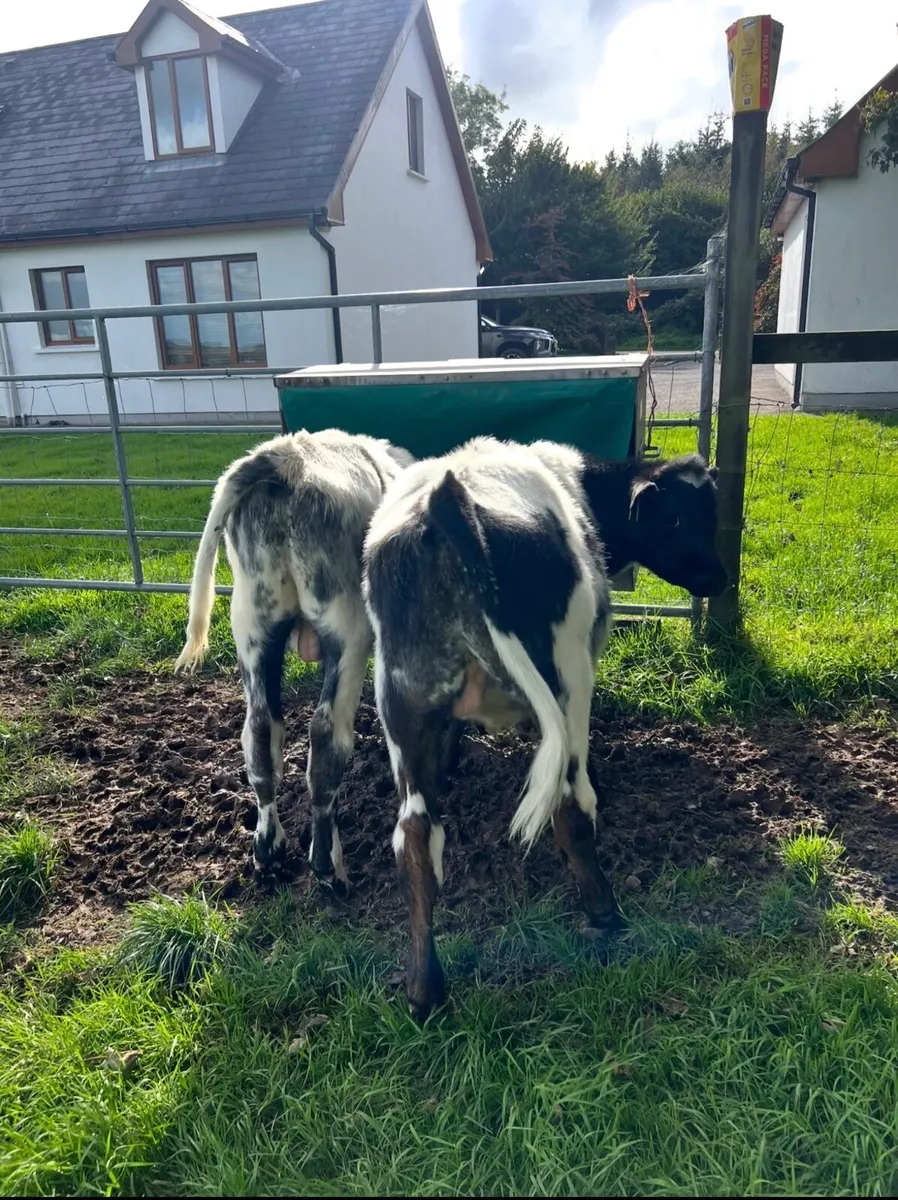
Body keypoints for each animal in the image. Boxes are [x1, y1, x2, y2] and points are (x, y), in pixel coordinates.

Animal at [175, 428, 414, 884]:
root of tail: (285, 458)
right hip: (348, 631)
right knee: (325, 738)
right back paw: (327, 864)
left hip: (253, 627)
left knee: (260, 733)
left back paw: (268, 848)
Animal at [363, 437, 727, 1019]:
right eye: (675, 517)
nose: (718, 577)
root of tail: (447, 502)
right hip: (568, 685)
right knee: (569, 806)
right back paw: (605, 915)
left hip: (402, 703)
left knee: (414, 837)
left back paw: (424, 989)